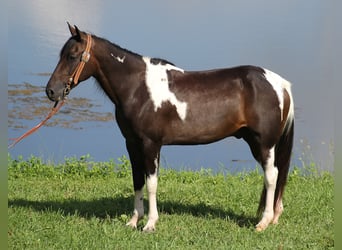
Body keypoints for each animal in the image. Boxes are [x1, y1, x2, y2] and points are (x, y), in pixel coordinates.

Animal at [46, 23, 294, 232]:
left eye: (72, 56)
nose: (51, 91)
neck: (137, 87)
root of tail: (281, 84)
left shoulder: (151, 144)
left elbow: (151, 183)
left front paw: (150, 224)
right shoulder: (132, 144)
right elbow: (137, 181)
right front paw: (133, 221)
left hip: (264, 144)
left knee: (272, 176)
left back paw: (263, 222)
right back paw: (273, 217)